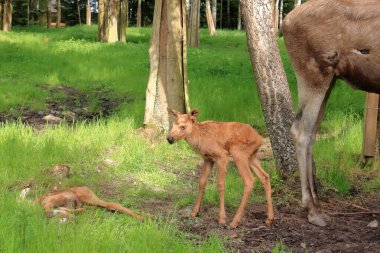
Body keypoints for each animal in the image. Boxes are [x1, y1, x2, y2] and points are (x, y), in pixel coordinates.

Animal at [282, 0, 380, 226]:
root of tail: (284, 23)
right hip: (315, 73)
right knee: (301, 131)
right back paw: (312, 209)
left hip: (330, 78)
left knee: (311, 132)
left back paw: (318, 204)